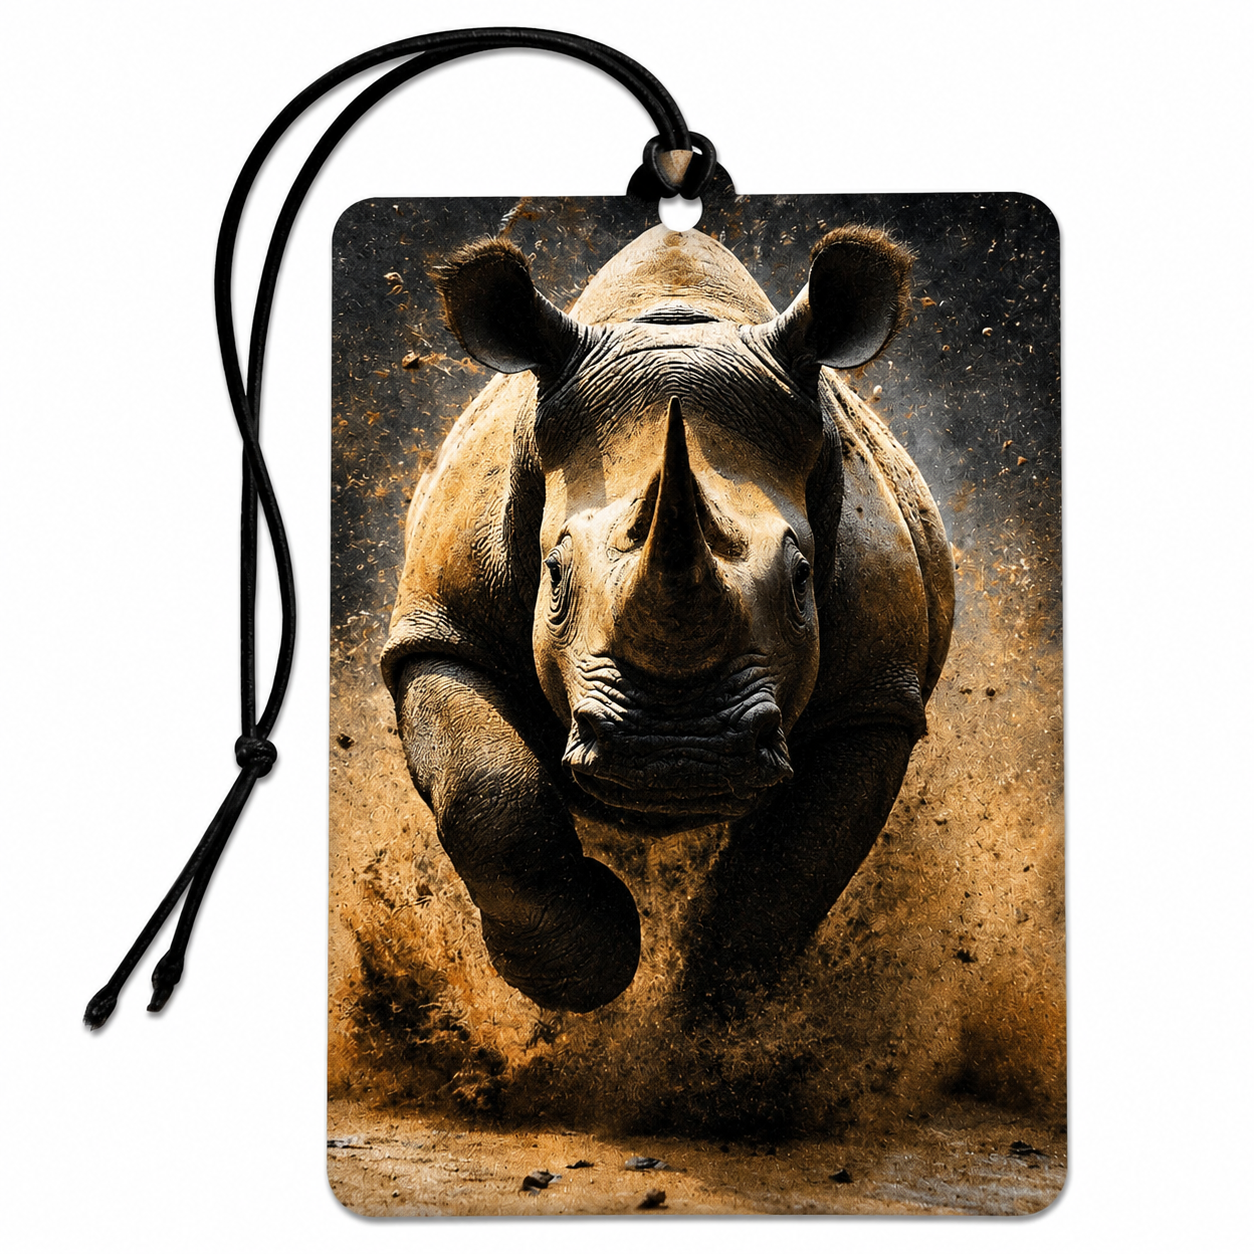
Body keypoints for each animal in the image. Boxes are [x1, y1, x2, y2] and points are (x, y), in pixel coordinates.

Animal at [380, 223, 954, 1017]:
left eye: (802, 580)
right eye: (554, 575)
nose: (675, 755)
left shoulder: (874, 696)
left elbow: (795, 863)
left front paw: (708, 1019)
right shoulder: (441, 631)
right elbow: (487, 795)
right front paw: (575, 974)